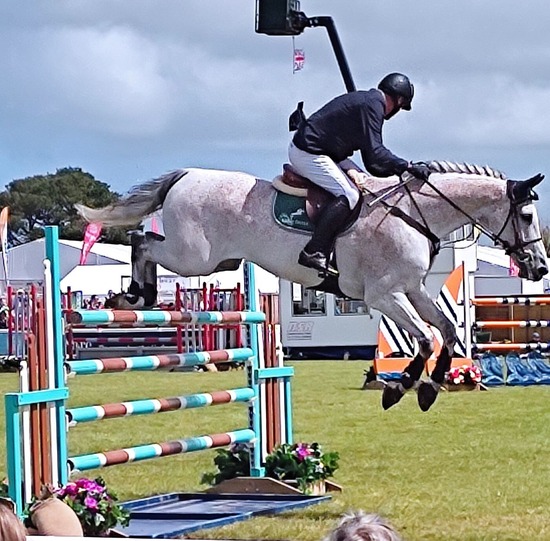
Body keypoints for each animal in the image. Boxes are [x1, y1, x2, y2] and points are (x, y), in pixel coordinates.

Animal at [75, 163, 548, 410]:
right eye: (526, 216)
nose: (539, 267)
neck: (415, 214)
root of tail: (186, 175)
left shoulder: (413, 291)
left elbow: (445, 331)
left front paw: (429, 388)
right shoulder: (384, 296)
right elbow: (425, 339)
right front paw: (399, 388)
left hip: (212, 260)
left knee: (144, 240)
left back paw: (140, 294)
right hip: (193, 257)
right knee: (141, 240)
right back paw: (133, 295)